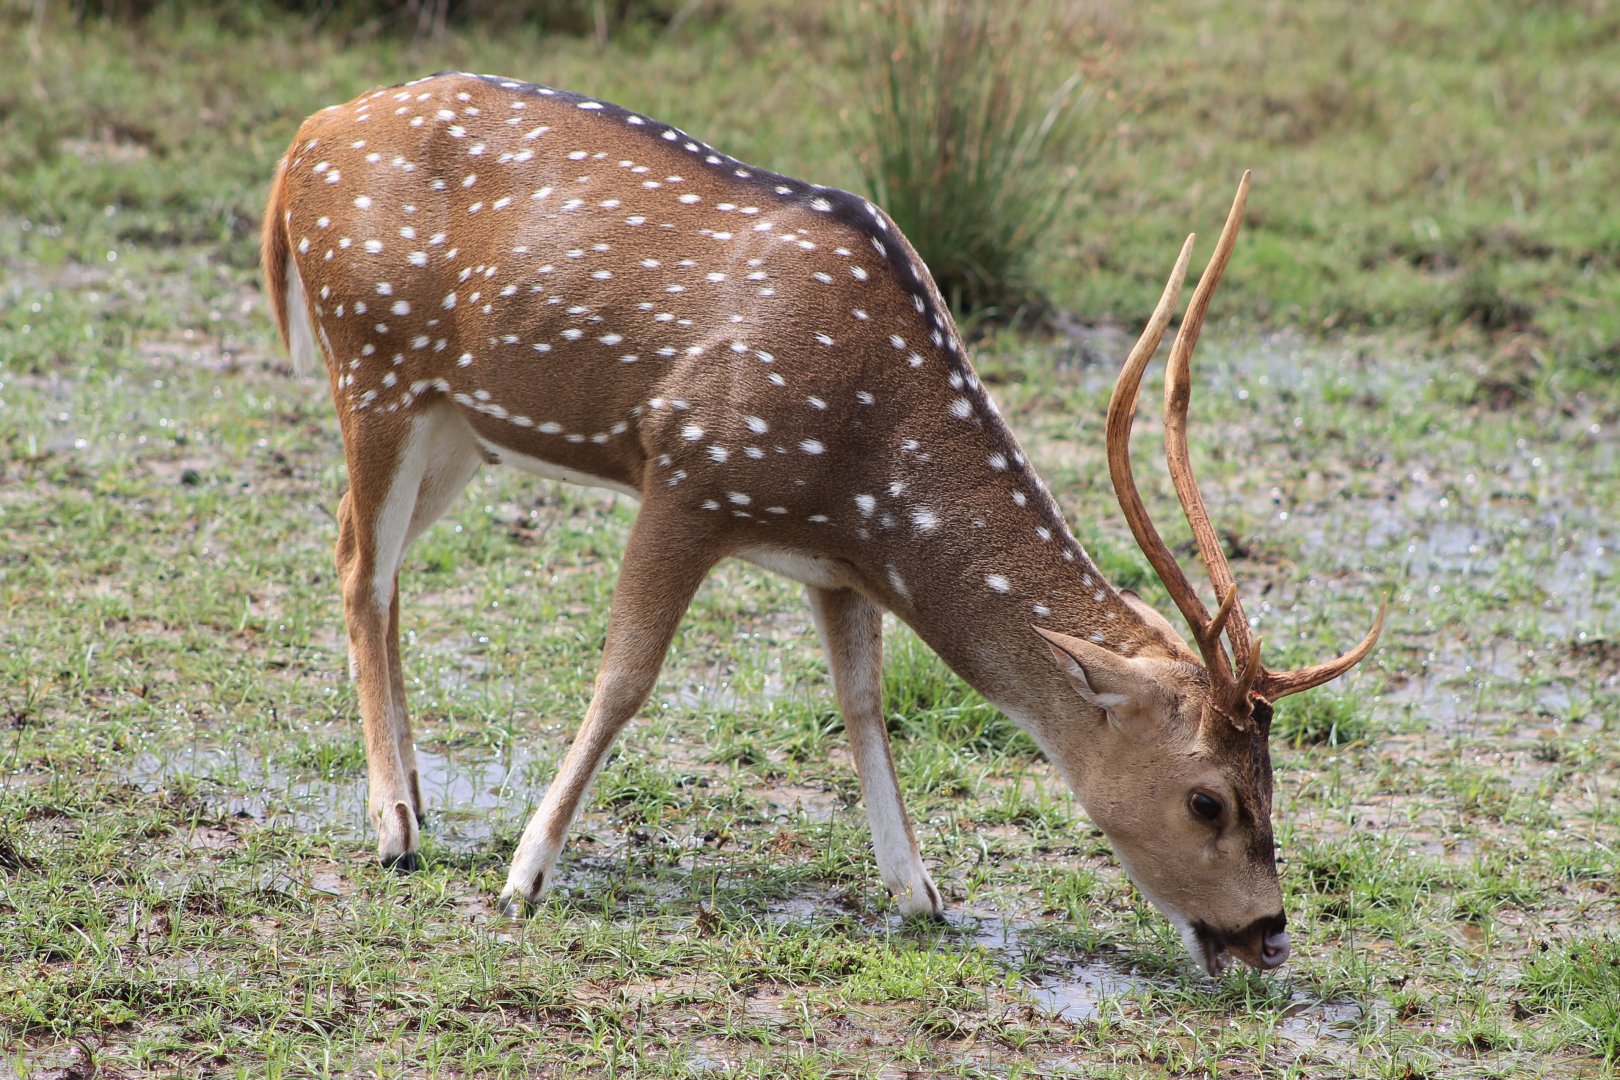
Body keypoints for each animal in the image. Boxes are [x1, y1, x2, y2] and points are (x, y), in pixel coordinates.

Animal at [261, 72, 1384, 977]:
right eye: (1208, 799)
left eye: (1273, 781)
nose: (1270, 935)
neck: (866, 471)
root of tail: (304, 136)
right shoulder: (690, 469)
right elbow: (626, 675)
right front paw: (525, 878)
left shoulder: (838, 565)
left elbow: (863, 705)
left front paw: (921, 892)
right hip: (373, 363)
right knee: (358, 562)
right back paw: (394, 824)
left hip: (457, 423)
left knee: (373, 553)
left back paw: (416, 790)